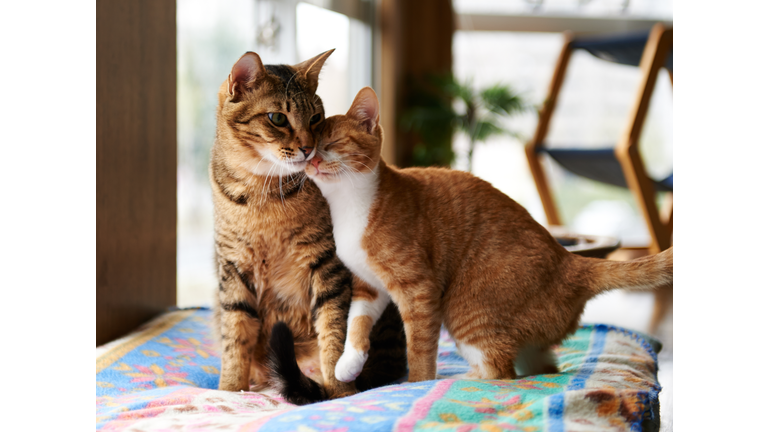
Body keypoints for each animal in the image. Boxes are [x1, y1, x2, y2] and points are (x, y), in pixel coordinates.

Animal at [306, 87, 672, 382]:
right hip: (524, 340)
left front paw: (416, 386)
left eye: (331, 143)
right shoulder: (369, 286)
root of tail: (570, 261)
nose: (310, 160)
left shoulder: (418, 289)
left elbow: (419, 349)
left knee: (500, 372)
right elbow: (356, 323)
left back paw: (464, 382)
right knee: (542, 369)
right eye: (308, 148)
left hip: (466, 309)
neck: (348, 205)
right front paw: (348, 364)